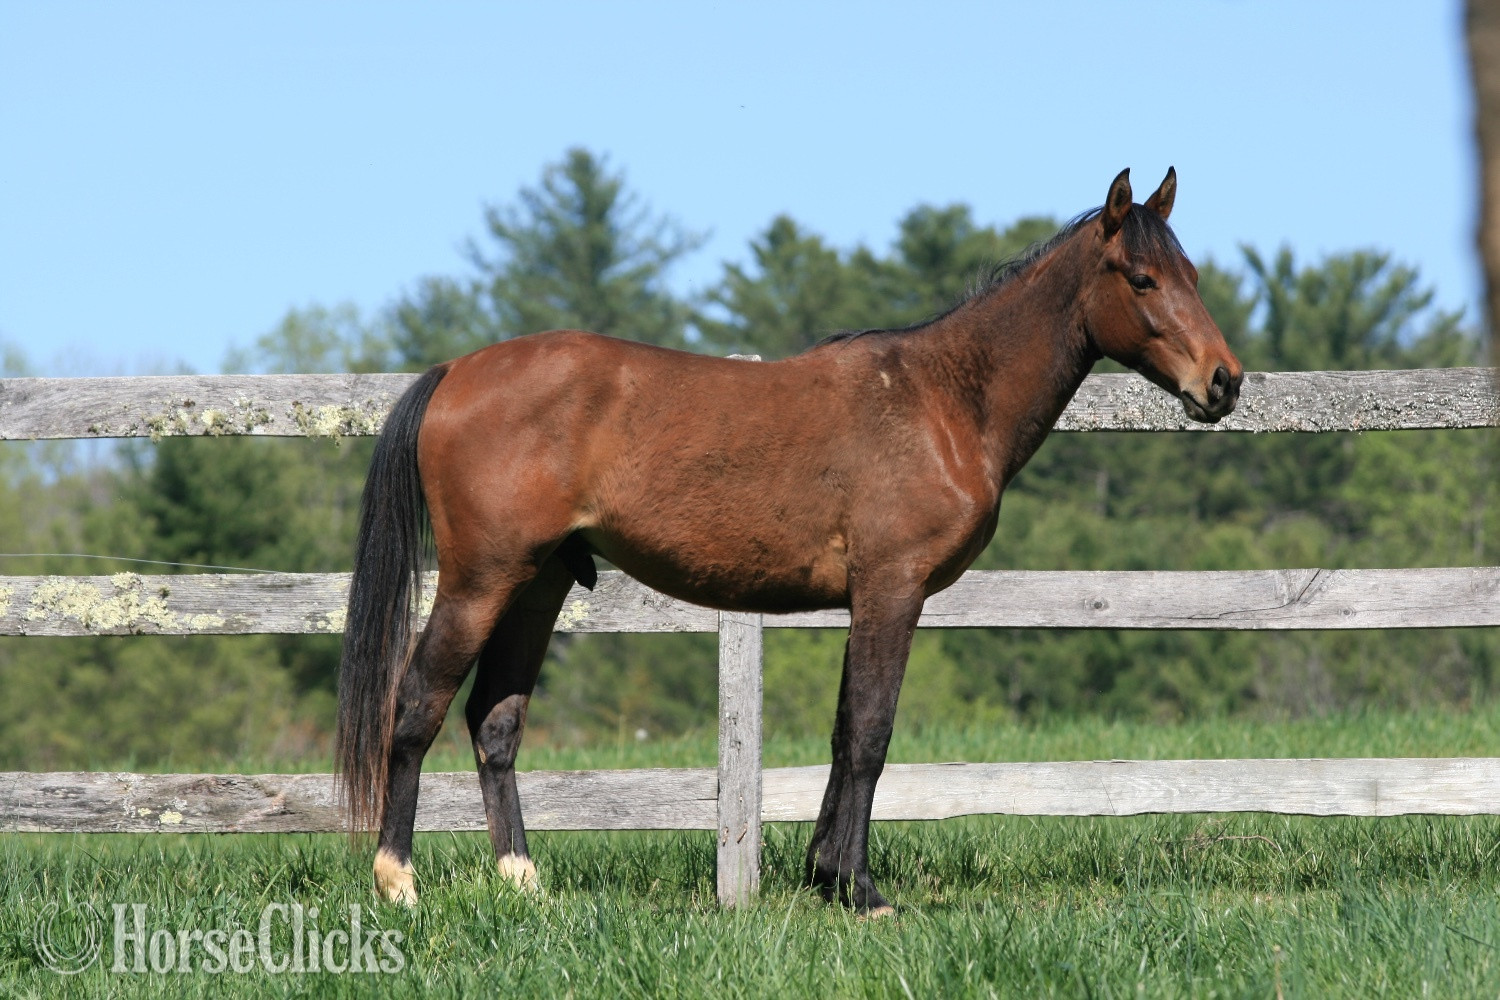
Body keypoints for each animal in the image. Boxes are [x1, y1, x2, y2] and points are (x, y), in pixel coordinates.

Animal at [335, 167, 1243, 915]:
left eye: (1194, 276)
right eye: (1143, 278)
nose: (1224, 382)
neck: (942, 398)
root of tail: (456, 372)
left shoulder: (869, 599)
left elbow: (846, 731)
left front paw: (825, 876)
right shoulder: (890, 588)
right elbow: (869, 732)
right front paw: (860, 890)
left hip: (538, 583)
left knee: (495, 720)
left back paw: (524, 881)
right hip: (480, 581)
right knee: (415, 704)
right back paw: (397, 881)